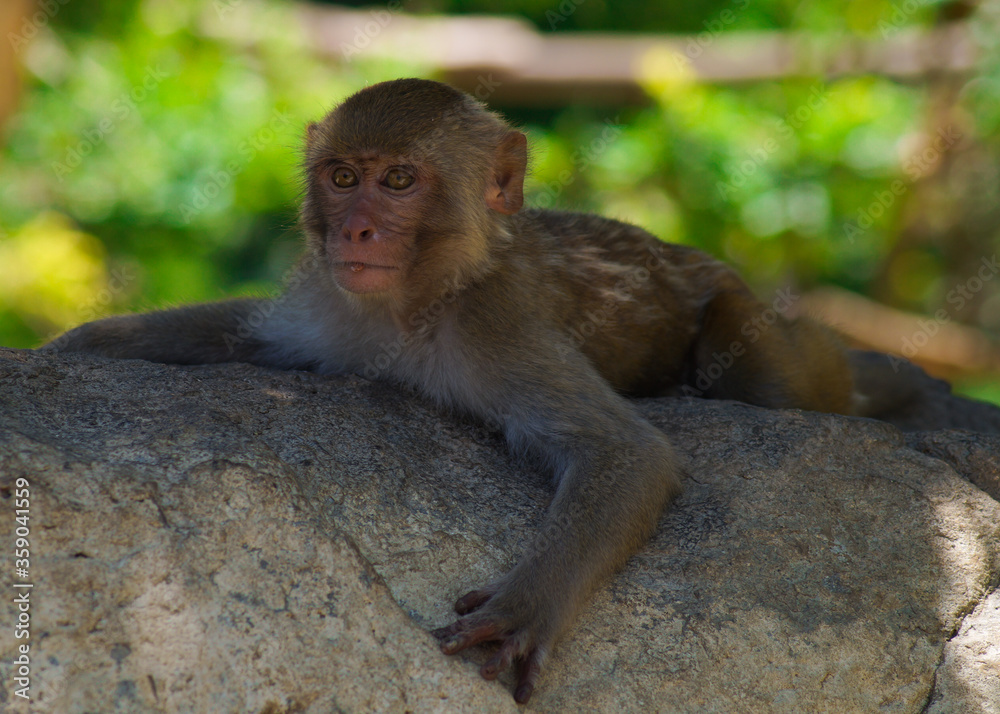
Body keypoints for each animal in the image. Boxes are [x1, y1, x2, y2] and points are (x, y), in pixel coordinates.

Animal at [42, 78, 900, 703]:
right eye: (342, 178)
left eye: (398, 181)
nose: (355, 229)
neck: (417, 301)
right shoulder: (332, 305)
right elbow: (249, 339)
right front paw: (84, 343)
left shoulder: (498, 324)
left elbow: (626, 453)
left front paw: (523, 608)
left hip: (749, 321)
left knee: (766, 368)